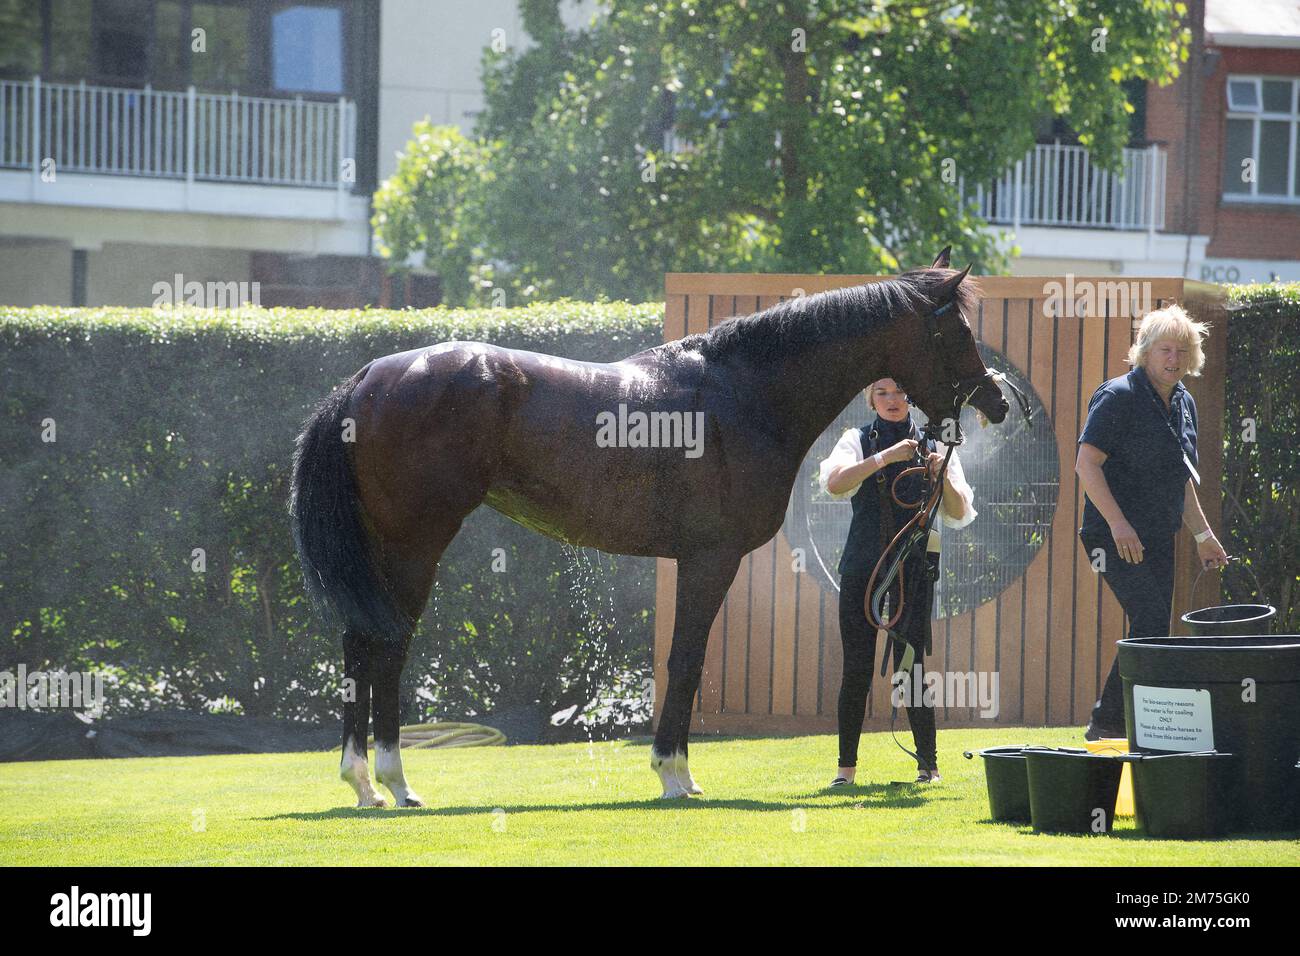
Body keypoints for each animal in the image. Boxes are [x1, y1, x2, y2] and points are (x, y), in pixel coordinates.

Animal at [289, 248, 1009, 806]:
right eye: (955, 331)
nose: (998, 399)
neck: (743, 395)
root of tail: (369, 378)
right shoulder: (710, 558)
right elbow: (686, 659)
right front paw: (674, 775)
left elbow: (687, 660)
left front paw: (679, 772)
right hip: (415, 544)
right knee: (386, 645)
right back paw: (392, 781)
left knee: (359, 642)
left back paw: (366, 782)